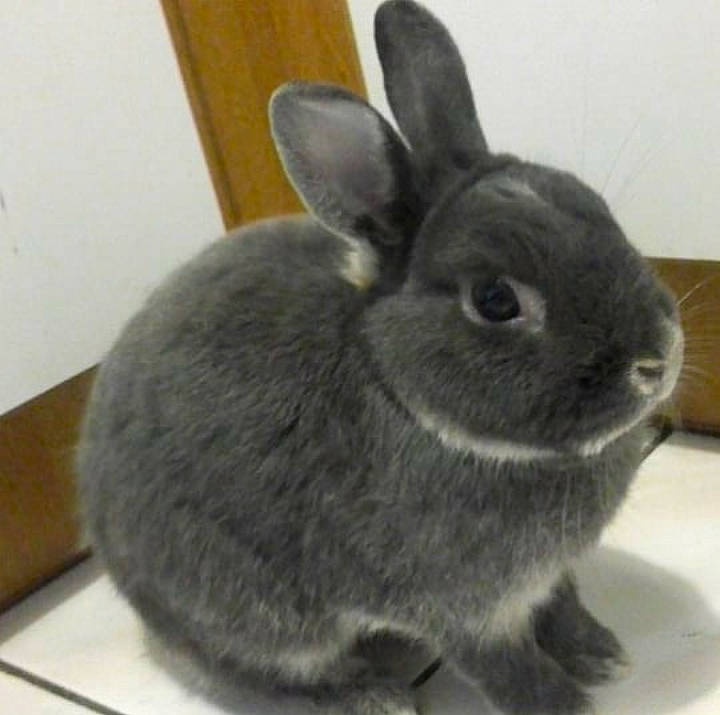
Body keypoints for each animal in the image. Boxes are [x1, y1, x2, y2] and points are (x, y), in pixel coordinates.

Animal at [76, 1, 683, 714]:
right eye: (495, 300)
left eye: (598, 209)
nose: (657, 361)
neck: (411, 404)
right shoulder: (463, 612)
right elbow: (506, 669)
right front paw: (565, 705)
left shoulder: (545, 579)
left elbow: (562, 608)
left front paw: (602, 656)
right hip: (259, 617)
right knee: (239, 673)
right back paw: (371, 696)